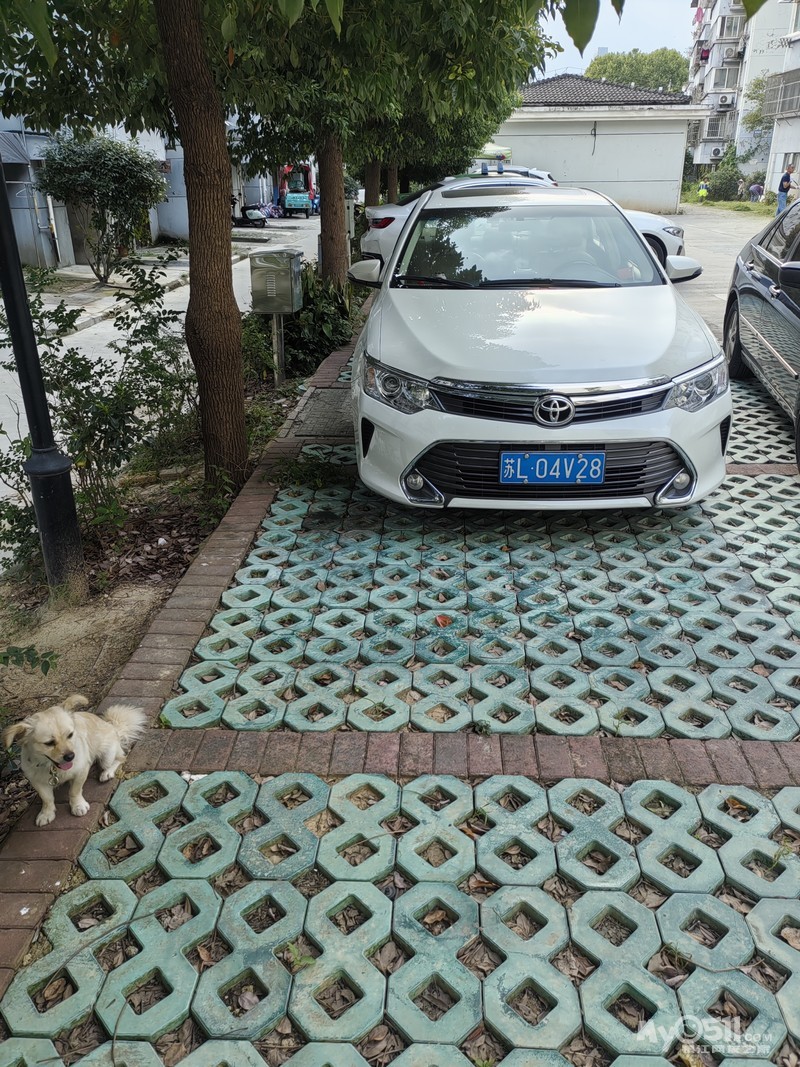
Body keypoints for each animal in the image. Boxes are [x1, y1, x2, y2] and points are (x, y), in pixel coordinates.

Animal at [3, 695, 146, 826]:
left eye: (70, 735)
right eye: (49, 743)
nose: (70, 756)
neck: (52, 766)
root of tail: (113, 727)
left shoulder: (81, 771)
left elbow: (74, 791)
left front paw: (78, 805)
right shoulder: (37, 781)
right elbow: (47, 798)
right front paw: (46, 813)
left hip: (106, 756)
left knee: (121, 758)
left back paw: (107, 772)